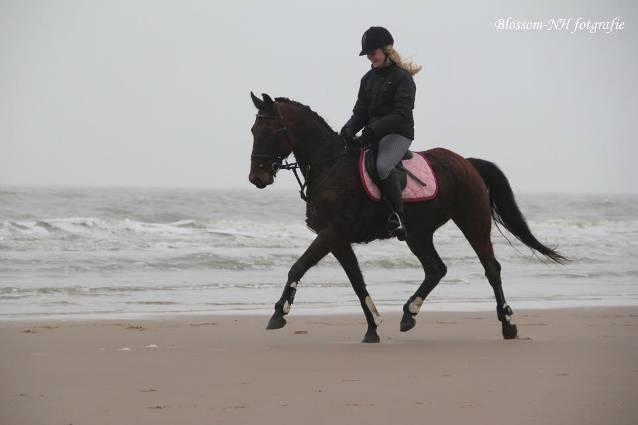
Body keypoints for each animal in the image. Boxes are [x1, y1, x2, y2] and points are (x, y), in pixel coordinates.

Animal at [248, 92, 568, 342]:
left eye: (272, 131)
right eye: (253, 130)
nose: (257, 179)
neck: (331, 167)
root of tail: (467, 163)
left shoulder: (332, 233)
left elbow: (298, 266)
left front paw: (279, 313)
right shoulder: (337, 240)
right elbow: (357, 282)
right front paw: (373, 328)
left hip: (472, 222)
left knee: (491, 268)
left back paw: (508, 325)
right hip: (418, 233)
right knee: (436, 269)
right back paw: (409, 314)